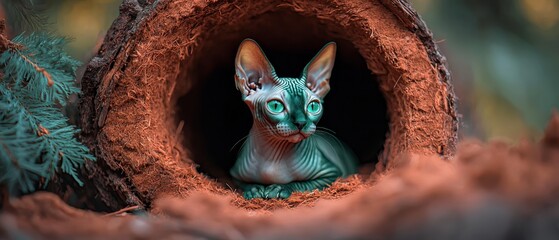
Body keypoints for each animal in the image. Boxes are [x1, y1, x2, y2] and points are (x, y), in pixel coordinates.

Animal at [230, 39, 356, 200]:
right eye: (276, 106)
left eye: (313, 106)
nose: (301, 123)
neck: (274, 156)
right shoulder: (234, 175)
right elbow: (244, 183)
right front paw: (254, 189)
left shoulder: (331, 174)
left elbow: (301, 184)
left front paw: (279, 188)